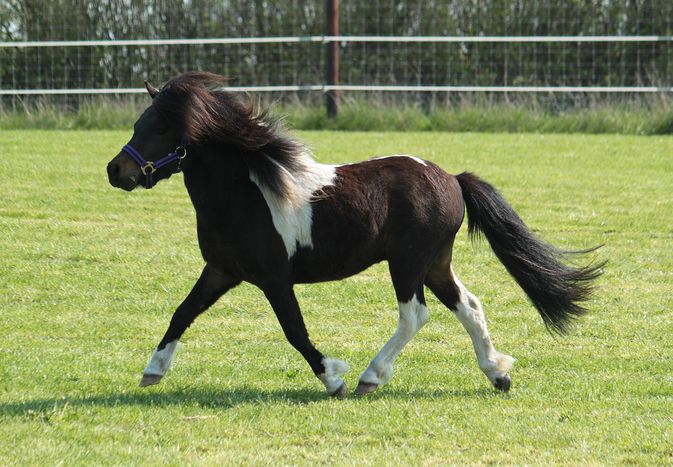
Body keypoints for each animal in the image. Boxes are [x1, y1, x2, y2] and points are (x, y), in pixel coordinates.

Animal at [106, 73, 604, 398]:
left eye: (162, 127)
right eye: (138, 123)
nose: (116, 170)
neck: (245, 194)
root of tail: (451, 179)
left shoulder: (273, 278)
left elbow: (294, 330)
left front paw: (334, 379)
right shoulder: (221, 271)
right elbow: (182, 313)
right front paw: (153, 370)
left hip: (408, 262)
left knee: (415, 315)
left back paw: (371, 376)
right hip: (435, 263)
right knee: (469, 305)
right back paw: (497, 374)